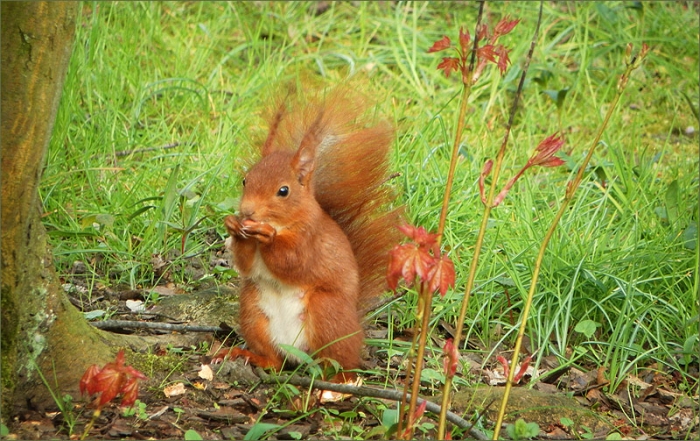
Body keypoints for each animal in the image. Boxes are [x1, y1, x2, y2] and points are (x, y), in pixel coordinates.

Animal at [216, 85, 402, 382]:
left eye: (283, 191)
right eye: (245, 180)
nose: (247, 211)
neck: (285, 222)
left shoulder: (310, 239)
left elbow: (293, 261)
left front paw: (266, 235)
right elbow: (246, 263)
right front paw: (234, 226)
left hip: (326, 312)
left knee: (339, 364)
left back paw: (334, 382)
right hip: (253, 312)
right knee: (274, 362)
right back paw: (247, 355)